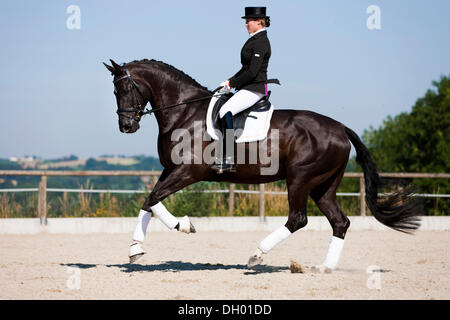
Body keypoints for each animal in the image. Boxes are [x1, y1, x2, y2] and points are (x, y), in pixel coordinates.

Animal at [103, 58, 422, 272]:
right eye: (115, 92)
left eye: (125, 89)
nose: (126, 126)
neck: (184, 113)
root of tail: (341, 128)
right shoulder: (170, 170)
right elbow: (148, 201)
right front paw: (136, 248)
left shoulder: (188, 172)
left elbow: (153, 199)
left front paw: (184, 225)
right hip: (323, 186)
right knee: (339, 222)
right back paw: (324, 268)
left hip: (300, 179)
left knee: (298, 219)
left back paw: (257, 255)